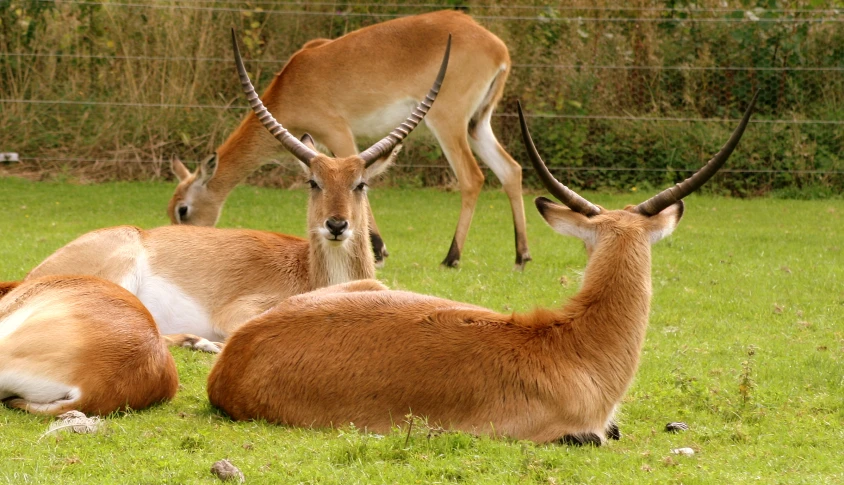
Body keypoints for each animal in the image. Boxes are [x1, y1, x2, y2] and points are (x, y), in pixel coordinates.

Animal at [168, 8, 532, 268]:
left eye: (183, 210)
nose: (179, 243)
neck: (291, 84)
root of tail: (498, 47)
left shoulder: (339, 133)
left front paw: (378, 250)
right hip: (477, 124)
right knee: (511, 169)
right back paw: (521, 256)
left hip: (448, 122)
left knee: (472, 177)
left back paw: (452, 257)